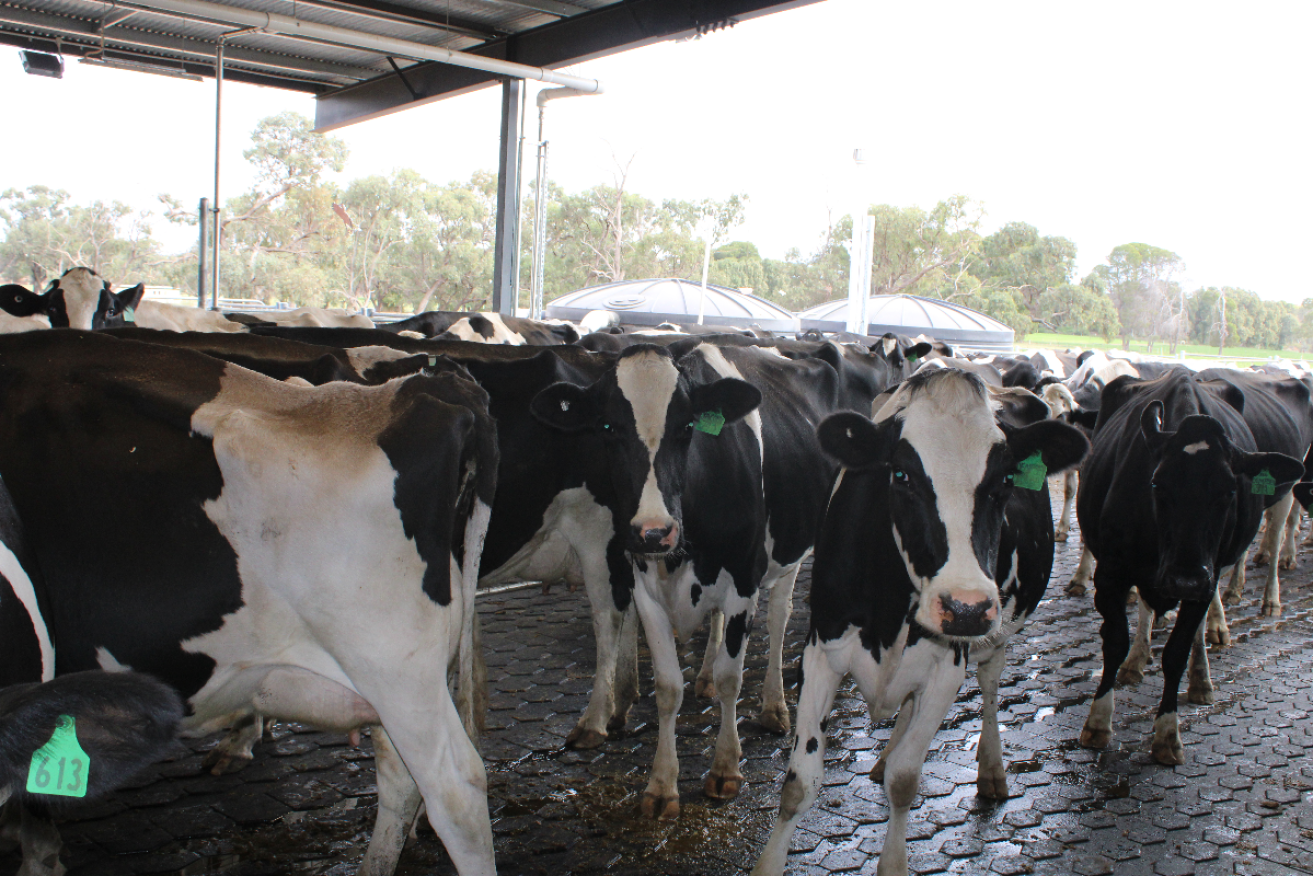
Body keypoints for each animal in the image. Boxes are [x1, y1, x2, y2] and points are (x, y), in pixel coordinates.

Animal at [751, 370, 1087, 876]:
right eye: (901, 475)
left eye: (1005, 480)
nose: (966, 607)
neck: (891, 615)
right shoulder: (820, 653)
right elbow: (798, 785)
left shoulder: (948, 668)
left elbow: (905, 780)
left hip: (999, 634)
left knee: (990, 686)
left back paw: (990, 767)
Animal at [1076, 367, 1302, 761]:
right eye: (1156, 483)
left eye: (1230, 490)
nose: (1184, 580)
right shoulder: (1110, 576)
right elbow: (1114, 642)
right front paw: (1098, 722)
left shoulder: (1205, 579)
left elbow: (1177, 652)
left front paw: (1167, 733)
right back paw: (1138, 660)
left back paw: (1203, 675)